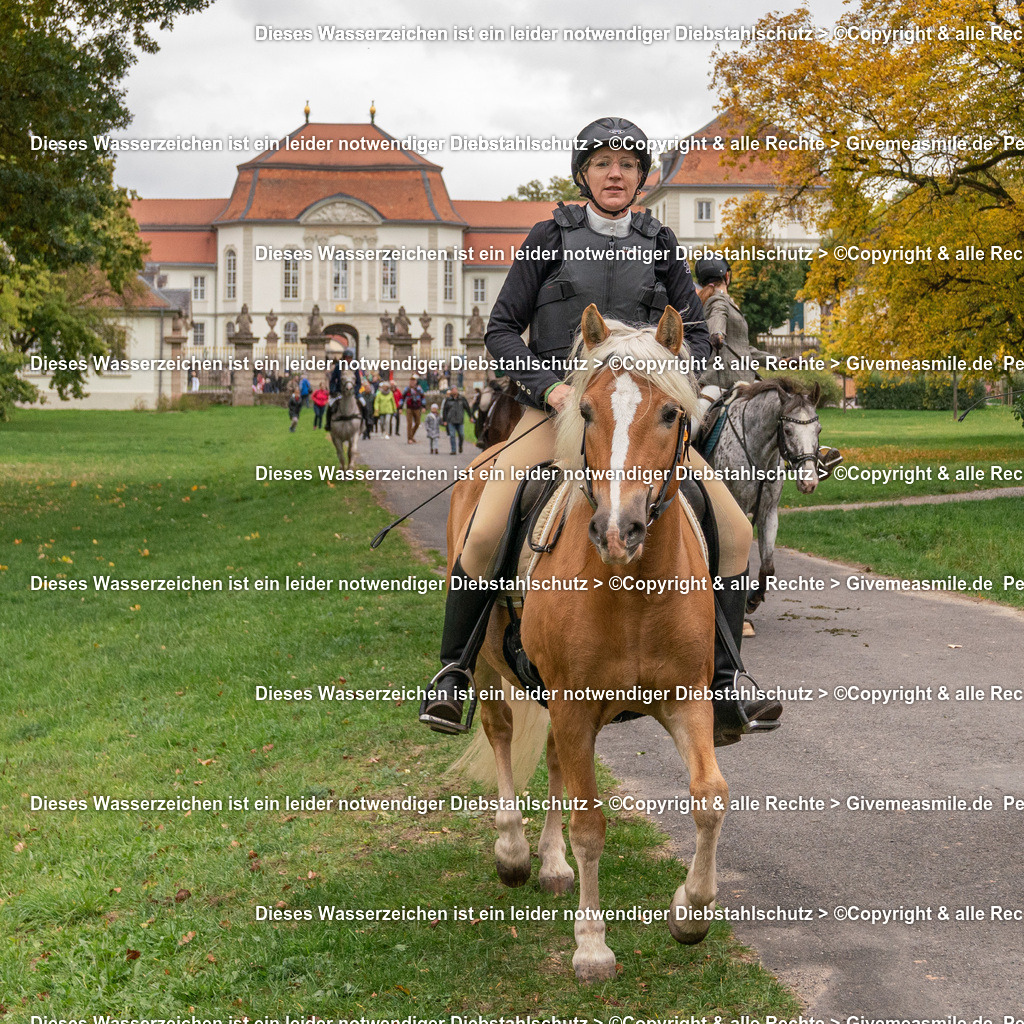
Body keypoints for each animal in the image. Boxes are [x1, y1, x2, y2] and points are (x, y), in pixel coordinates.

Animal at [444, 305, 724, 983]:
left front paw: (690, 910)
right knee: (500, 732)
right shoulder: (574, 707)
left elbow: (709, 799)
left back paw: (549, 864)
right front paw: (593, 947)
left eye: (670, 413)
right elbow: (591, 824)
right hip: (489, 667)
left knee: (551, 761)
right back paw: (515, 850)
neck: (633, 592)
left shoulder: (687, 699)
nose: (618, 530)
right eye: (589, 412)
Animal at [700, 380, 819, 610]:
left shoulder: (768, 512)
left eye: (818, 429)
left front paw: (753, 598)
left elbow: (767, 567)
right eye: (788, 430)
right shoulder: (736, 511)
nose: (809, 482)